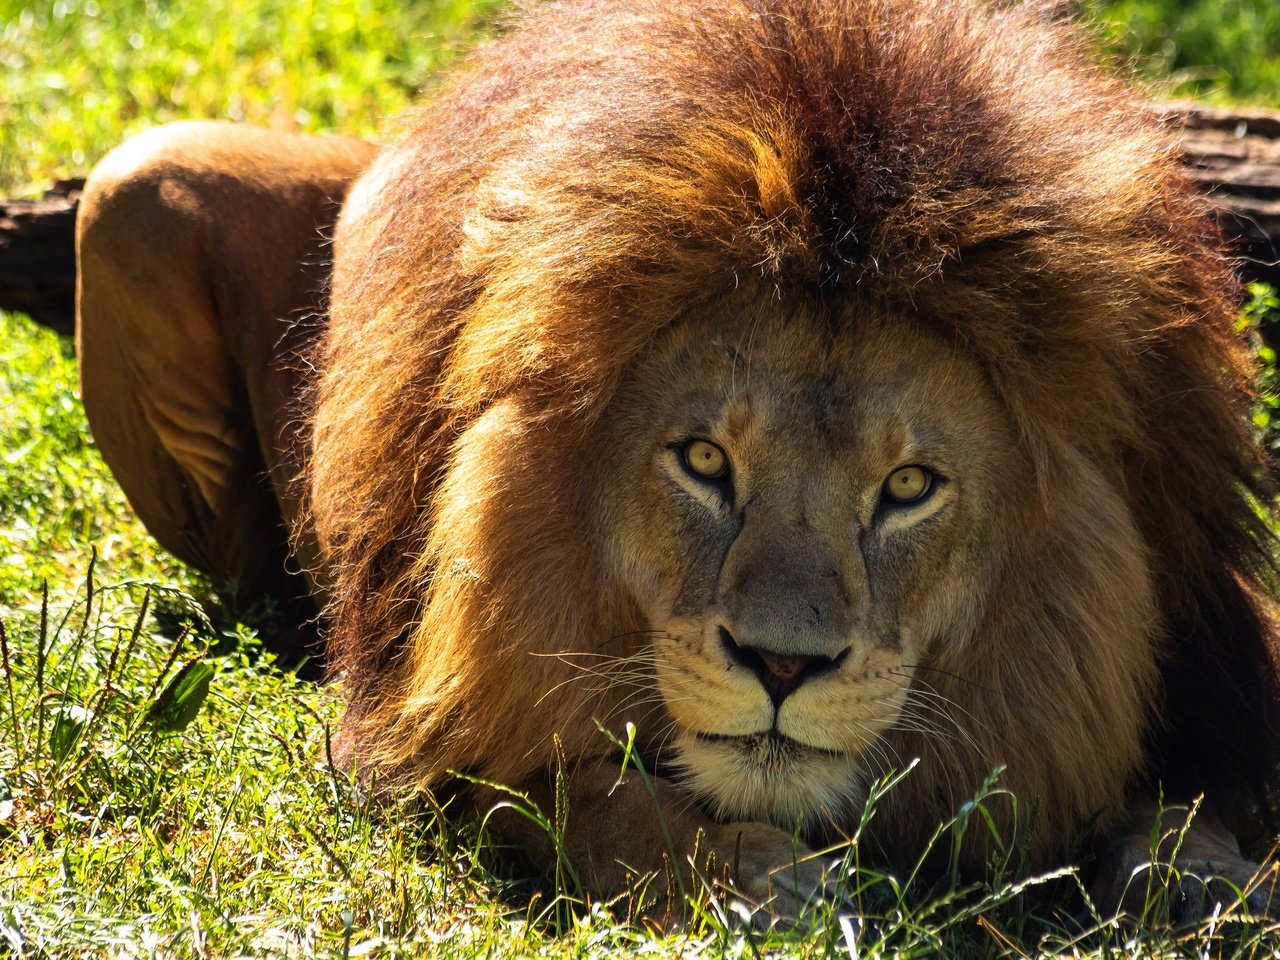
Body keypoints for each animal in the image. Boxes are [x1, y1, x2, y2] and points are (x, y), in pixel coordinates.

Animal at [77, 0, 1280, 921]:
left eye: (907, 489)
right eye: (704, 461)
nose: (783, 667)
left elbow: (1190, 805)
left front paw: (1197, 876)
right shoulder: (415, 739)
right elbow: (592, 799)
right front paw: (759, 878)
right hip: (132, 193)